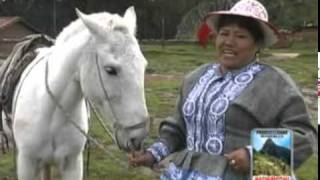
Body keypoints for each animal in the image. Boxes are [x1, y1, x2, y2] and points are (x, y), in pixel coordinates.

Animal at [11, 6, 149, 179]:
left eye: (144, 65)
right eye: (110, 70)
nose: (138, 136)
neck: (51, 114)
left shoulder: (73, 164)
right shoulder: (27, 165)